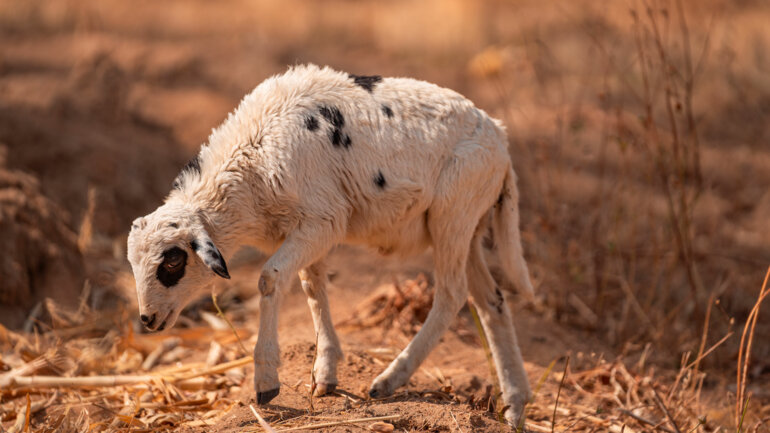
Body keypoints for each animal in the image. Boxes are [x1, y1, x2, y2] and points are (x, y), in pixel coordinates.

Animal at [126, 64, 534, 426]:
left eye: (173, 261)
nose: (147, 319)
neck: (250, 159)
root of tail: (501, 139)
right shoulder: (309, 228)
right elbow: (313, 288)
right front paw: (325, 374)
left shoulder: (322, 219)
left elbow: (270, 278)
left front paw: (267, 383)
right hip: (471, 226)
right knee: (492, 300)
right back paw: (514, 406)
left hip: (452, 214)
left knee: (452, 294)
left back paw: (389, 381)